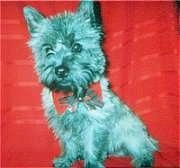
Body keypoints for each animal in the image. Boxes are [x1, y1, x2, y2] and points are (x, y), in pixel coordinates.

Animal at [23, 0, 158, 167]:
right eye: (48, 49)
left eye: (77, 46)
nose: (60, 70)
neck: (72, 94)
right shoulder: (63, 124)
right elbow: (68, 143)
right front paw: (66, 159)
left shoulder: (95, 124)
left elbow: (92, 146)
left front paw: (92, 163)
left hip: (131, 133)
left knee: (143, 148)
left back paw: (143, 160)